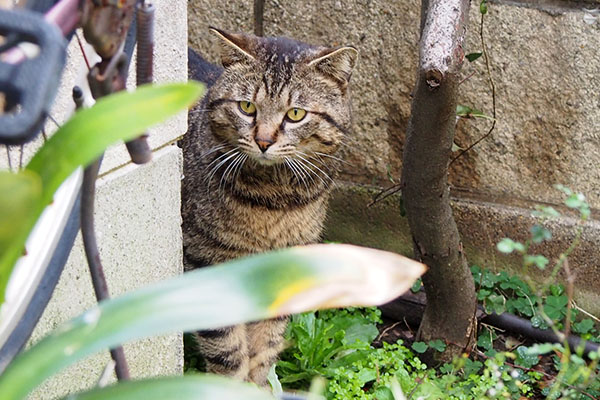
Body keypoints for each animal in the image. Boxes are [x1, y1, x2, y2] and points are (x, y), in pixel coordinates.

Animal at [178, 28, 356, 384]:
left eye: (296, 114)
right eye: (247, 107)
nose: (263, 141)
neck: (272, 199)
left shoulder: (281, 267)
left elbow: (265, 345)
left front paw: (259, 385)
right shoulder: (206, 261)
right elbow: (228, 350)